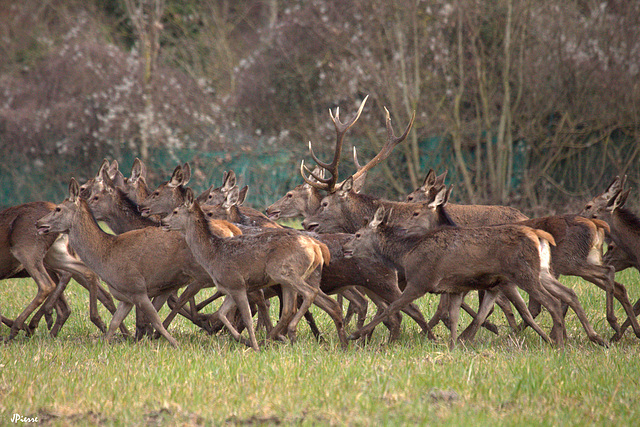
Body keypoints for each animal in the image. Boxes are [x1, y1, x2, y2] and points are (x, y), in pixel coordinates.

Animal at [162, 188, 348, 352]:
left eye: (175, 211)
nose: (162, 222)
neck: (212, 255)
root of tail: (317, 248)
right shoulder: (230, 288)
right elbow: (222, 313)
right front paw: (242, 339)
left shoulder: (237, 284)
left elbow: (247, 318)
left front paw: (254, 346)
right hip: (298, 278)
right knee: (302, 306)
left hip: (283, 271)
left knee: (309, 294)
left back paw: (288, 332)